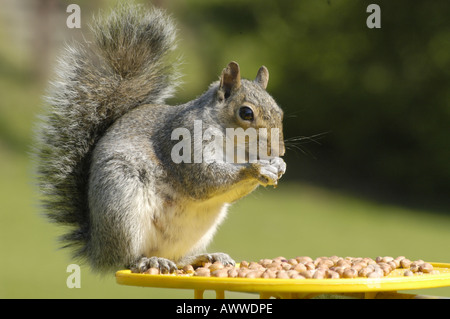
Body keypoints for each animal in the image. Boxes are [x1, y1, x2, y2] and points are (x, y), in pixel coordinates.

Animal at [35, 2, 284, 276]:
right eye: (246, 113)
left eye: (280, 112)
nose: (279, 151)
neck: (234, 148)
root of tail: (98, 248)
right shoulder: (184, 141)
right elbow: (204, 179)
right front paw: (257, 168)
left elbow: (228, 192)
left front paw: (278, 166)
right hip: (121, 200)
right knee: (126, 258)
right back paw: (148, 261)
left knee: (178, 258)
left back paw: (203, 257)